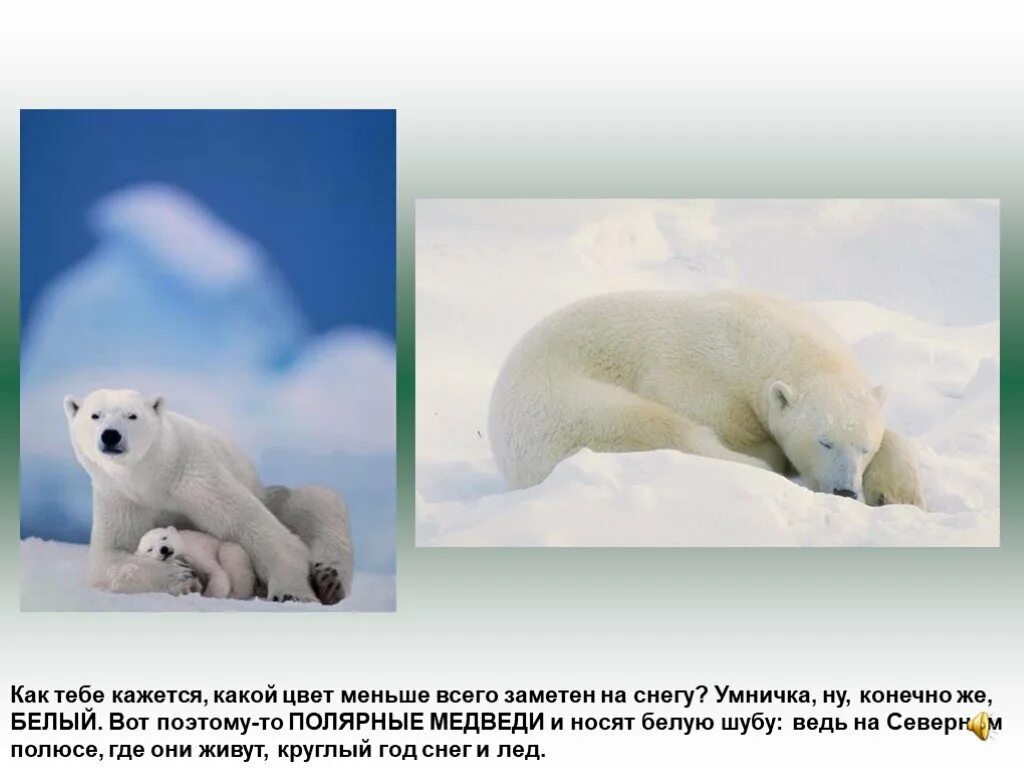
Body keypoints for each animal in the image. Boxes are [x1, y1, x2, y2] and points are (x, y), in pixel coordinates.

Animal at [64, 388, 353, 604]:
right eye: (95, 415)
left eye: (132, 415)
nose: (111, 435)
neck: (152, 477)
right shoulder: (122, 498)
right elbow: (109, 557)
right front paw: (180, 577)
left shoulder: (193, 476)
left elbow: (255, 528)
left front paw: (292, 593)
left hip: (271, 497)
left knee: (318, 501)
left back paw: (329, 581)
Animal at [489, 290, 887, 498]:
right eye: (824, 442)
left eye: (865, 448)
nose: (846, 491)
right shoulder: (704, 379)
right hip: (567, 409)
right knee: (657, 428)